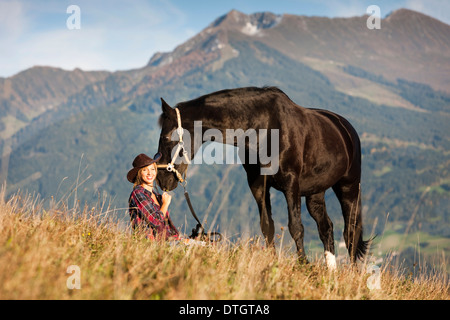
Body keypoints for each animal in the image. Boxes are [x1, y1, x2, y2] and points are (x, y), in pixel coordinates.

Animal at [156, 86, 370, 266]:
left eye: (166, 138)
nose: (162, 179)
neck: (265, 129)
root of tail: (345, 128)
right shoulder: (258, 185)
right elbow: (267, 226)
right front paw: (272, 262)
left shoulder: (291, 184)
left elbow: (296, 227)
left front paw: (304, 265)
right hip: (315, 193)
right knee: (326, 228)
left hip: (349, 187)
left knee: (350, 231)